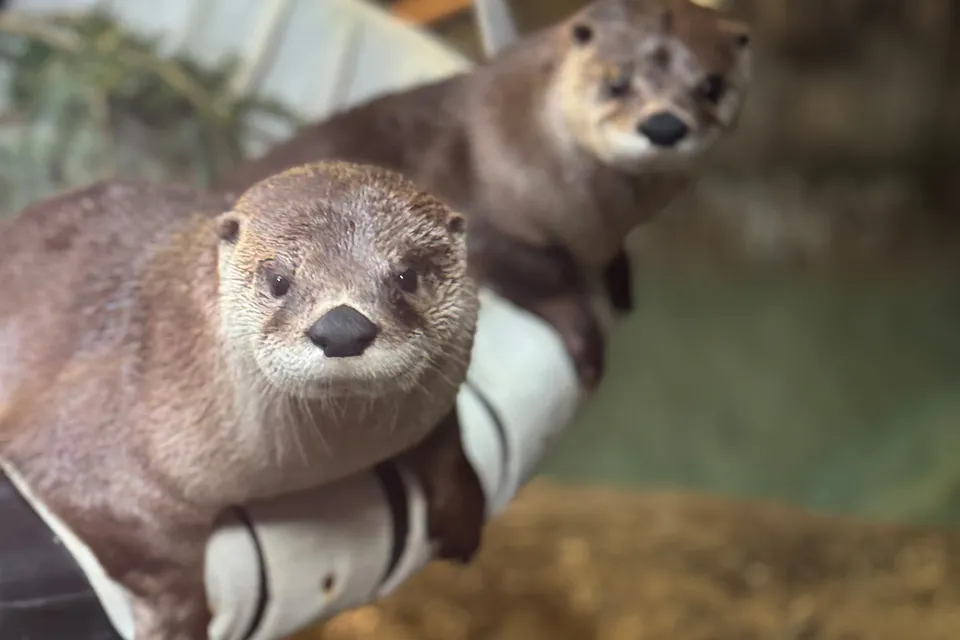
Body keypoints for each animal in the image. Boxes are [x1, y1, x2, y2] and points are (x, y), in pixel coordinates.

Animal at [0, 162, 483, 639]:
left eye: (408, 275)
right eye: (279, 280)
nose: (342, 329)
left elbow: (446, 439)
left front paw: (462, 511)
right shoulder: (91, 457)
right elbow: (155, 558)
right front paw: (180, 621)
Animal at [219, 0, 752, 390]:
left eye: (712, 85)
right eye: (615, 81)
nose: (664, 126)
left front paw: (620, 281)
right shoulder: (473, 213)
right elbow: (538, 274)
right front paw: (584, 333)